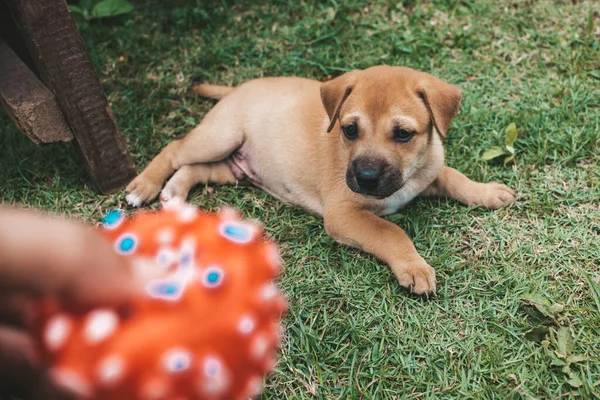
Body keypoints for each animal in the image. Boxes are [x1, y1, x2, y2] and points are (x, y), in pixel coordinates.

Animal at [126, 65, 516, 296]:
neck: (409, 175)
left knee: (197, 168)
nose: (365, 178)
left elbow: (453, 176)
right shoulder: (343, 214)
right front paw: (415, 267)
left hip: (232, 166)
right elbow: (391, 231)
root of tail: (238, 89)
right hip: (221, 135)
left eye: (403, 134)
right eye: (350, 129)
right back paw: (144, 186)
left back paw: (174, 192)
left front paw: (486, 192)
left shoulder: (429, 171)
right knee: (175, 149)